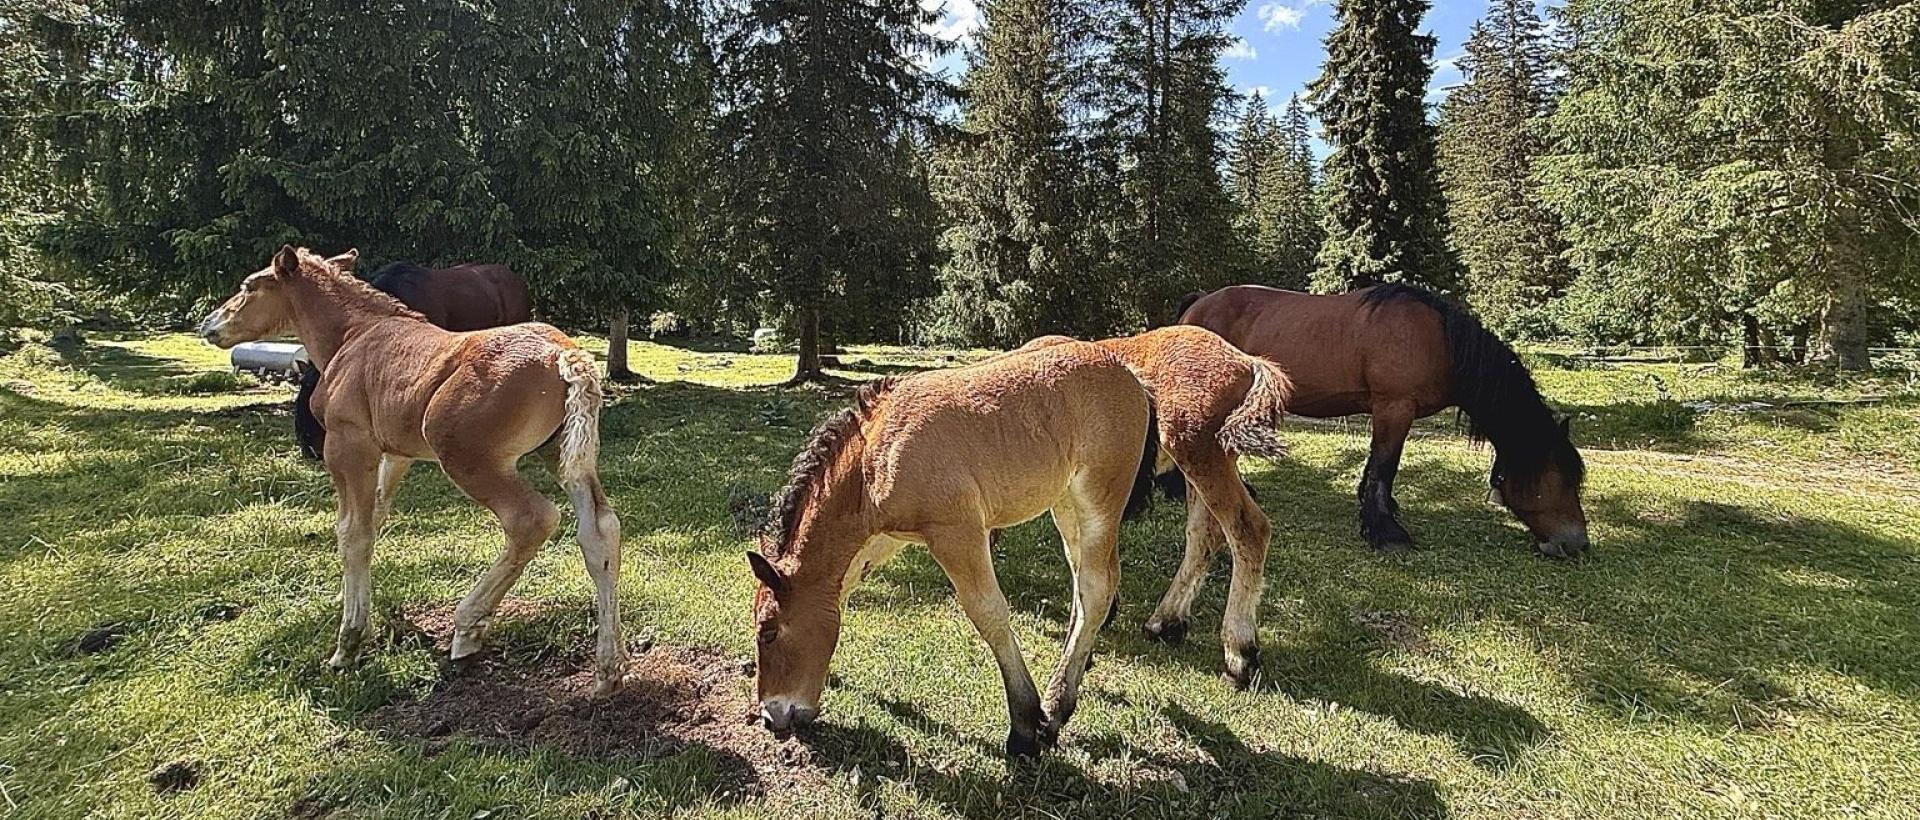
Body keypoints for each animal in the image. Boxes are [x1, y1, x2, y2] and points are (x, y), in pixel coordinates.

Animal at [745, 341, 1158, 759]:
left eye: (769, 631)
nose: (770, 716)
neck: (873, 460)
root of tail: (1131, 376)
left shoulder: (957, 532)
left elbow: (989, 613)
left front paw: (1025, 726)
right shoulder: (884, 537)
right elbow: (842, 590)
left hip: (1099, 500)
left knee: (1096, 589)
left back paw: (1057, 708)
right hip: (1066, 503)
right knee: (1084, 584)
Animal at [1013, 326, 1292, 688]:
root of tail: (1248, 362)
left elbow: (1078, 550)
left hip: (1196, 451)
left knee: (1247, 528)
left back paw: (1239, 654)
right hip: (1199, 465)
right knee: (1204, 534)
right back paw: (1166, 622)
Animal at [1176, 283, 1588, 558]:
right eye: (1558, 479)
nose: (1577, 543)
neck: (1439, 339)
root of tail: (1198, 303)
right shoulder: (1395, 407)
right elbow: (1384, 466)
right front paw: (1387, 532)